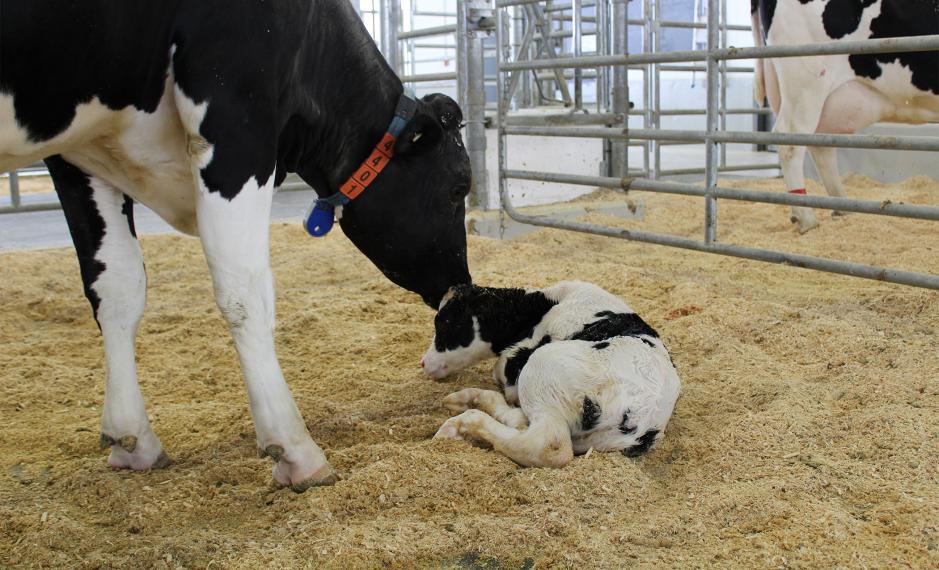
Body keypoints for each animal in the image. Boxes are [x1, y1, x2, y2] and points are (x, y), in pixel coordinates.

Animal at [0, 0, 470, 488]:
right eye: (459, 188)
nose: (462, 283)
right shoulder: (235, 123)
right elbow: (244, 293)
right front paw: (294, 449)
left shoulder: (80, 153)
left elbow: (117, 288)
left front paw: (133, 439)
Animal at [422, 280, 680, 466]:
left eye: (445, 322)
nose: (423, 363)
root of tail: (644, 415)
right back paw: (468, 399)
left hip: (542, 367)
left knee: (547, 445)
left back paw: (463, 421)